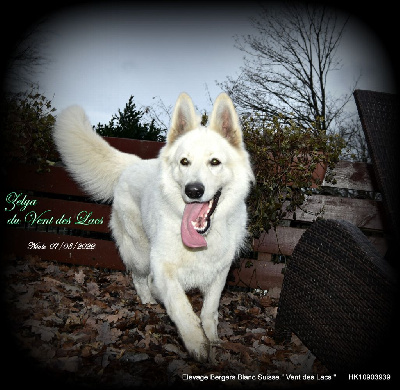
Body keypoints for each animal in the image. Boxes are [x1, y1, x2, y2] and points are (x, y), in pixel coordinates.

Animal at [54, 93, 253, 362]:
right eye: (184, 162)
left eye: (215, 162)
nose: (193, 190)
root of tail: (133, 163)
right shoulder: (162, 265)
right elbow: (180, 305)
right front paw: (196, 343)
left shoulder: (219, 272)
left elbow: (209, 311)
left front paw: (212, 340)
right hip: (140, 254)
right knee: (139, 279)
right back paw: (148, 303)